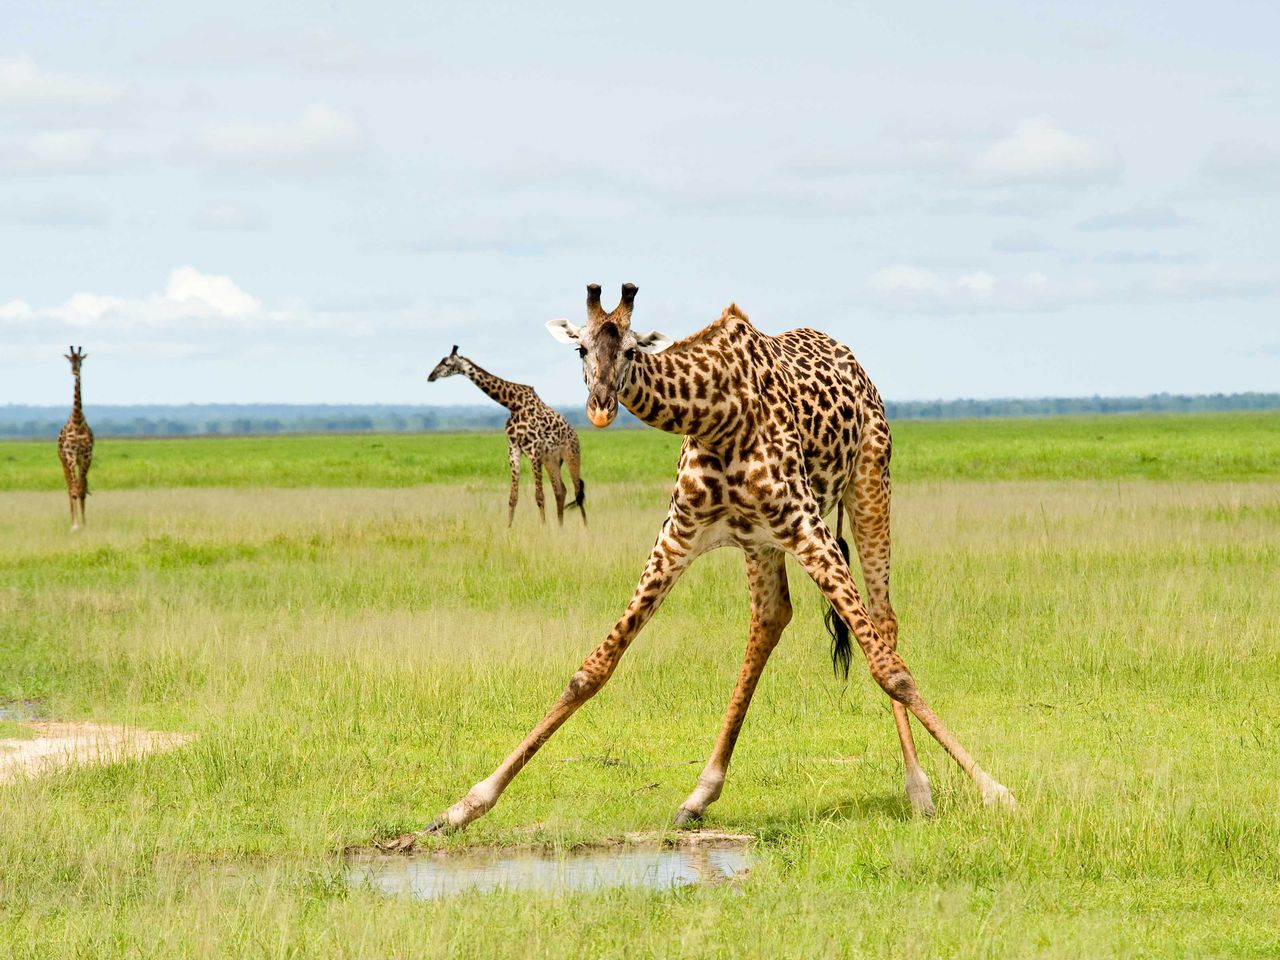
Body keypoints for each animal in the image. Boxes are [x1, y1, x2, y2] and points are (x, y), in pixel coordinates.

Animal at [428, 346, 586, 526]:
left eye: (447, 363)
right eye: (440, 361)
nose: (430, 376)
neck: (513, 404)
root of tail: (574, 433)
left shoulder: (534, 451)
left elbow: (539, 496)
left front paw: (543, 527)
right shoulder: (513, 449)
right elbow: (513, 497)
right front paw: (508, 528)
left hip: (571, 455)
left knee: (577, 492)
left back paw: (585, 528)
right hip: (551, 460)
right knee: (560, 490)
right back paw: (560, 527)